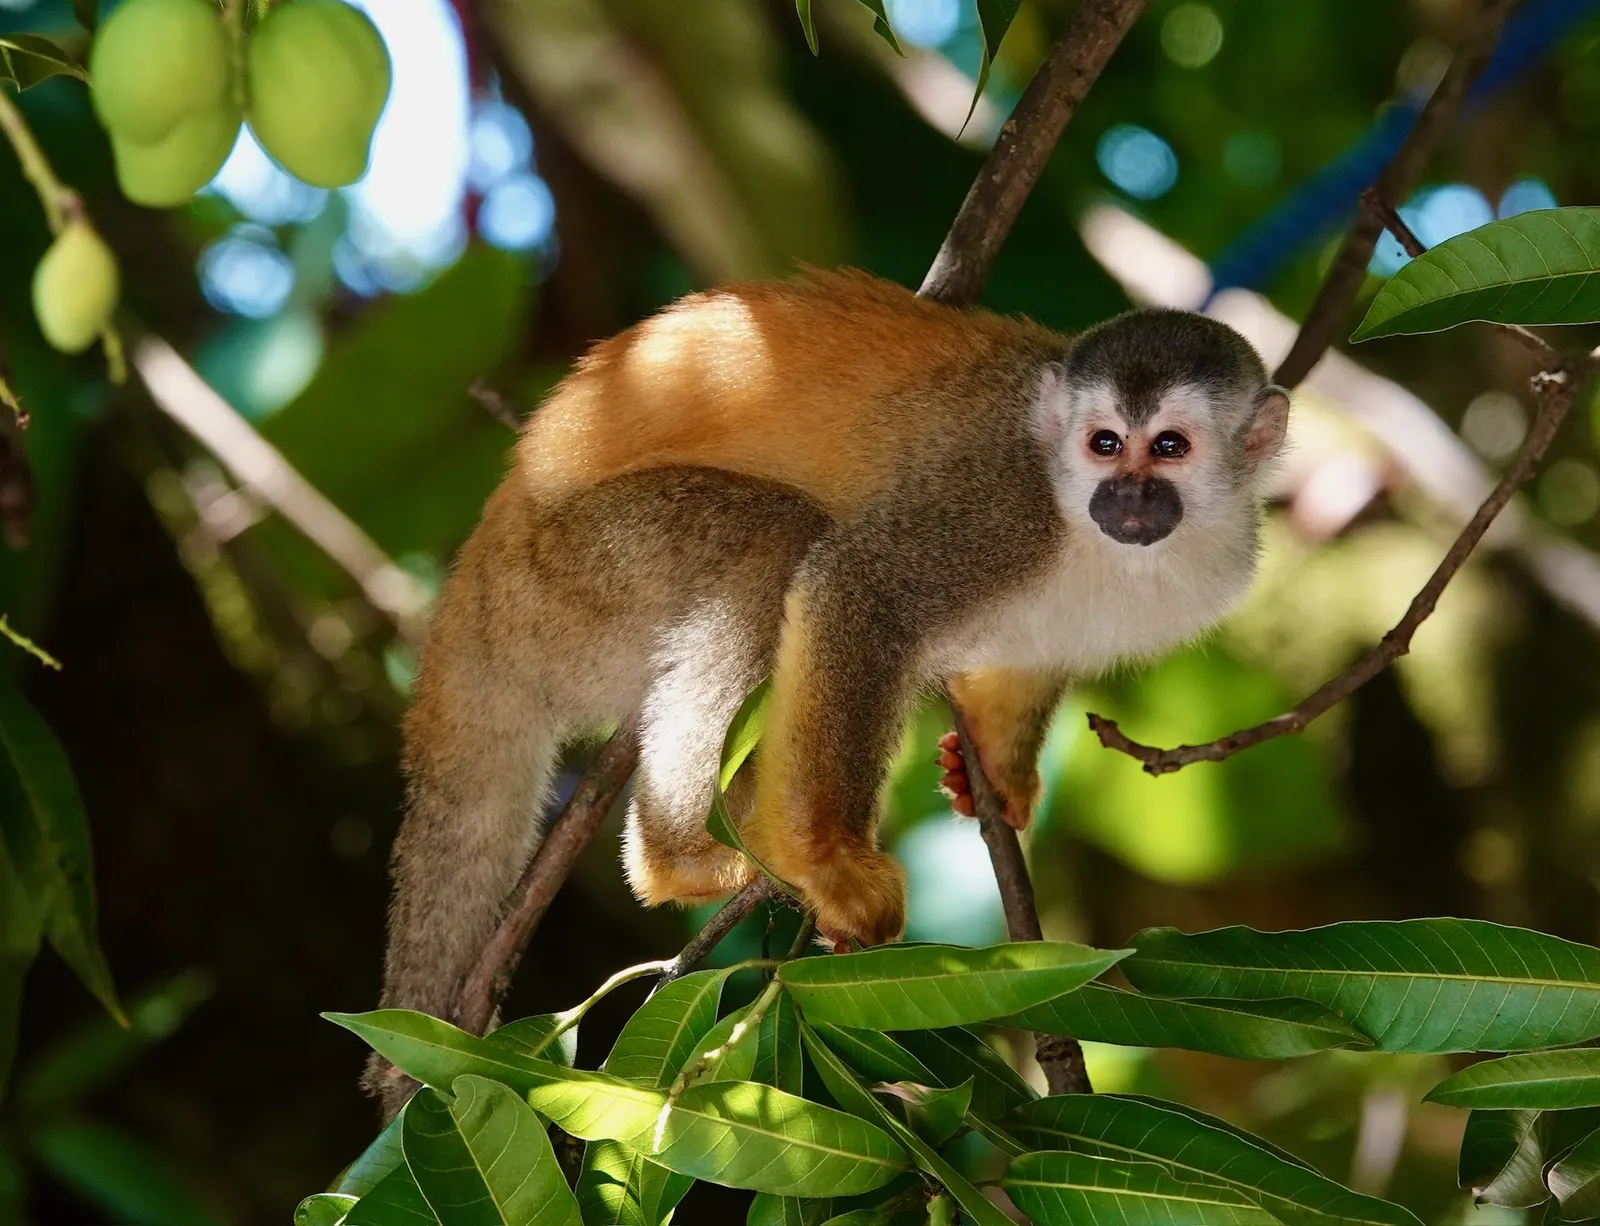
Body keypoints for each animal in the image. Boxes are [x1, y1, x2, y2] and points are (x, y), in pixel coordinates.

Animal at [365, 267, 1288, 1113]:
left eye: (1167, 448)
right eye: (1104, 444)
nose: (1126, 495)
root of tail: (484, 561)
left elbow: (1028, 655)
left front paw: (992, 768)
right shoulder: (1001, 505)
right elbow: (856, 584)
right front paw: (831, 865)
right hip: (572, 577)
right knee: (779, 540)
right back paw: (684, 857)